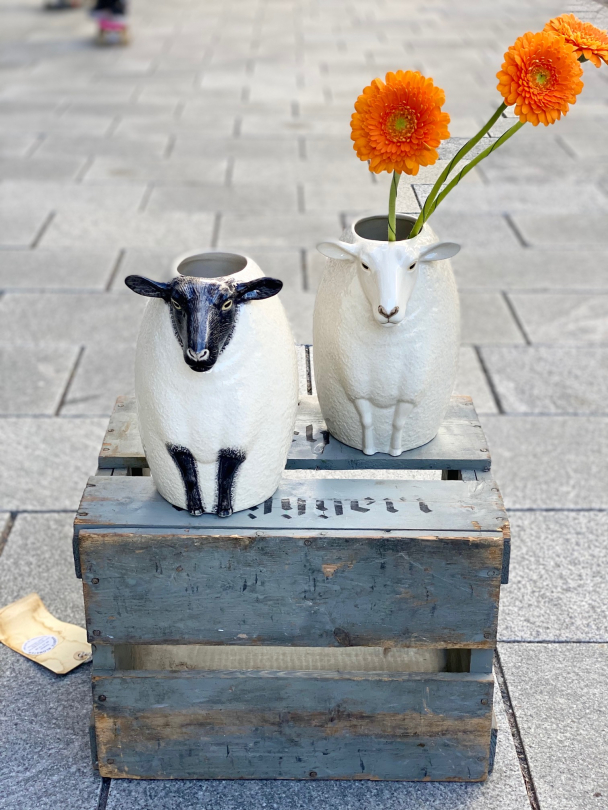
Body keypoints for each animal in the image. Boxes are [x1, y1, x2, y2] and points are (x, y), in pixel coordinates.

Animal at [125, 251, 299, 517]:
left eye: (227, 303)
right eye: (176, 303)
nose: (198, 354)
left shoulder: (240, 429)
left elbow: (227, 471)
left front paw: (224, 509)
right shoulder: (172, 430)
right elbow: (187, 470)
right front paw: (196, 508)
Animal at [313, 214, 460, 456]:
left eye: (412, 265)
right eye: (364, 265)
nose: (388, 311)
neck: (386, 348)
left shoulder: (411, 389)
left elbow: (398, 423)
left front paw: (395, 451)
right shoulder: (356, 384)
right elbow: (366, 421)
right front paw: (369, 450)